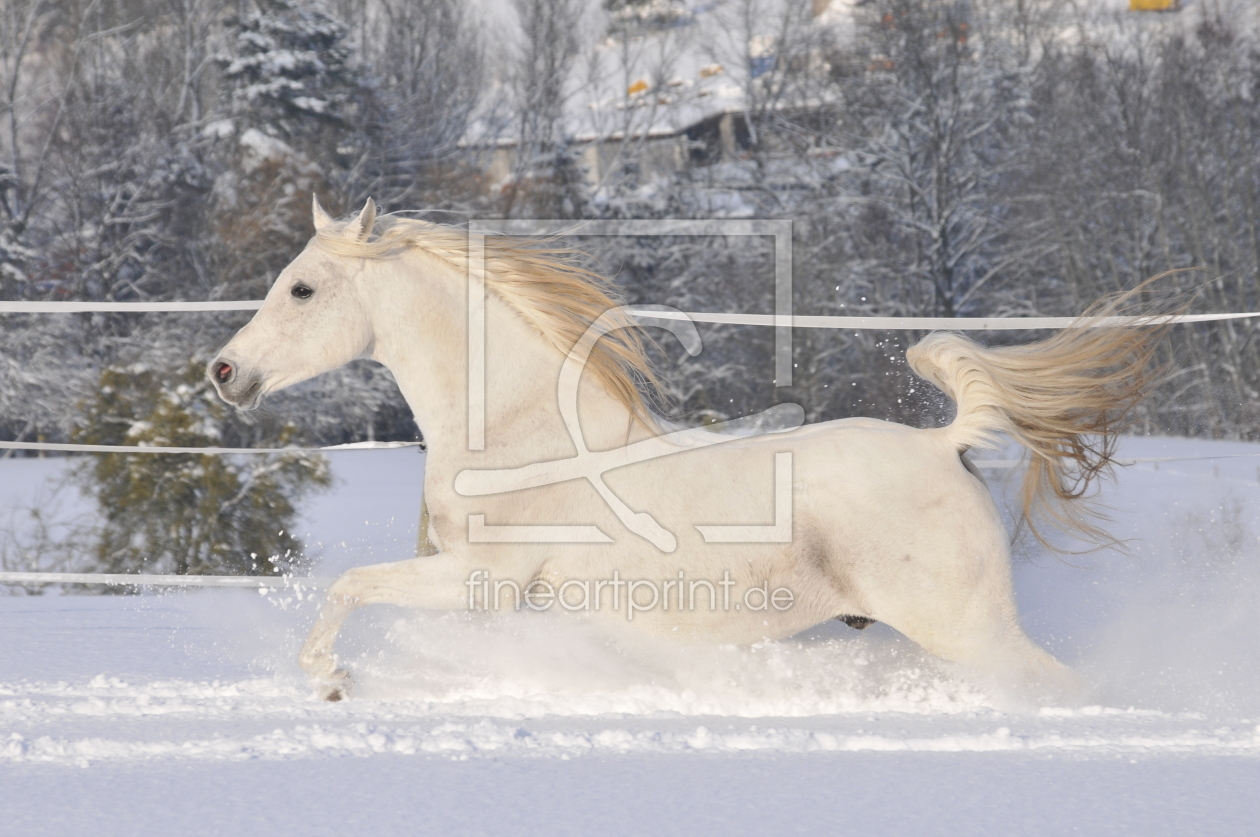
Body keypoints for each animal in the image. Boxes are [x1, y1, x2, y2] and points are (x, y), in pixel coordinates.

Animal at [211, 199, 1164, 700]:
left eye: (302, 287)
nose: (224, 372)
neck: (522, 433)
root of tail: (944, 444)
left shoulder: (480, 579)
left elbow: (346, 585)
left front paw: (329, 678)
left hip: (967, 628)